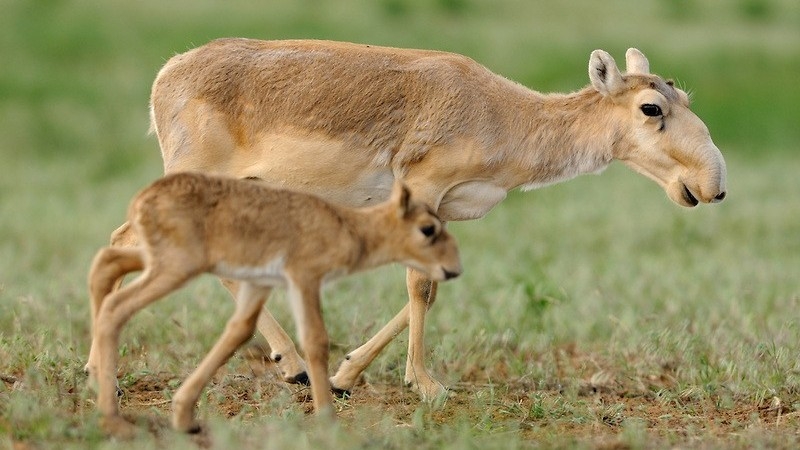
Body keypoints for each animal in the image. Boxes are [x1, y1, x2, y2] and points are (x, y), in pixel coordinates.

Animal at [86, 173, 462, 436]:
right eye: (428, 229)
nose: (454, 269)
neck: (347, 227)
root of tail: (144, 198)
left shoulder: (260, 285)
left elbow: (238, 332)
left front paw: (183, 415)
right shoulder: (304, 280)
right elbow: (316, 340)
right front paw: (327, 418)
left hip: (161, 262)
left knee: (106, 262)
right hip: (175, 268)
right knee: (116, 305)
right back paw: (113, 418)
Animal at [106, 39, 724, 400]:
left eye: (684, 97)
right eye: (651, 107)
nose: (712, 186)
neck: (503, 113)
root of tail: (166, 73)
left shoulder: (444, 211)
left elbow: (433, 287)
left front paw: (346, 373)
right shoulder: (422, 191)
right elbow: (420, 286)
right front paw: (425, 385)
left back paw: (294, 367)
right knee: (132, 240)